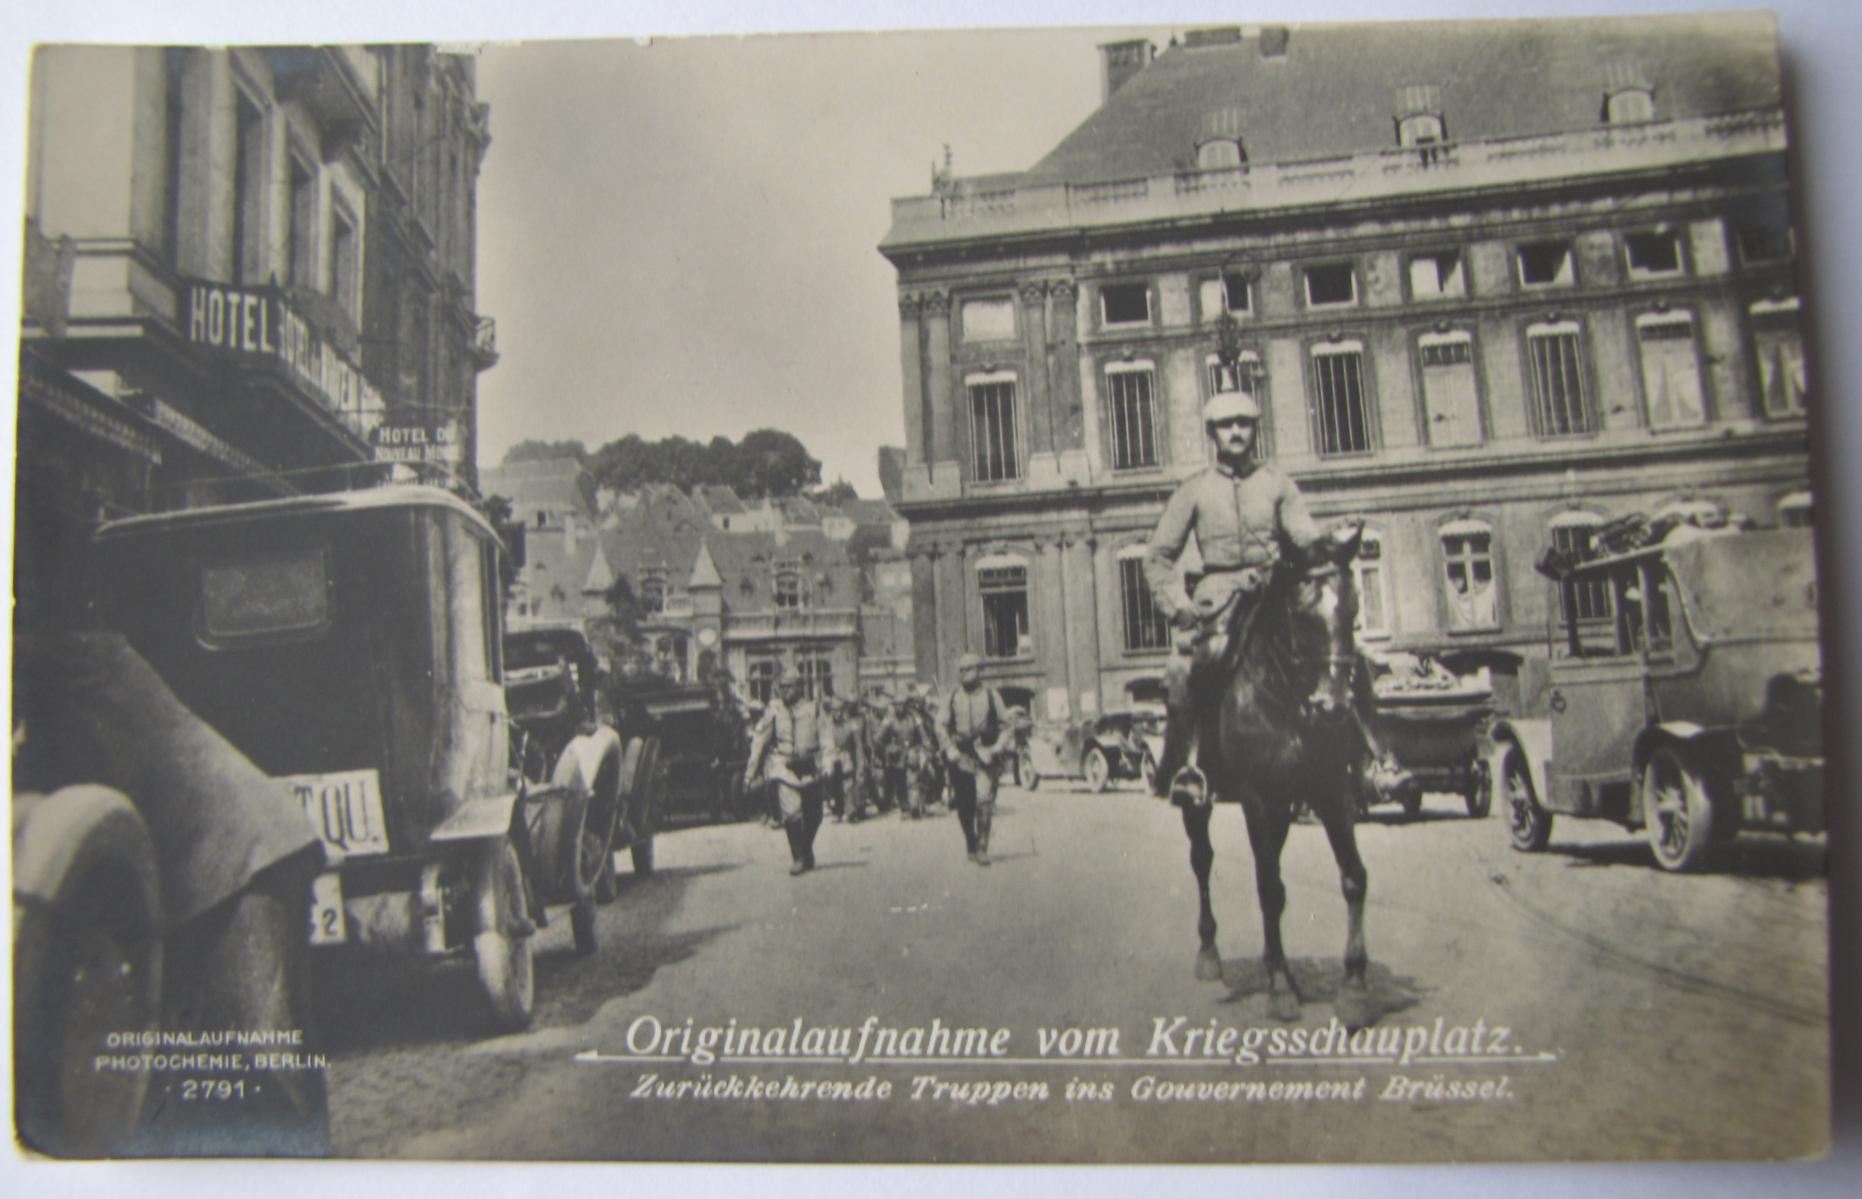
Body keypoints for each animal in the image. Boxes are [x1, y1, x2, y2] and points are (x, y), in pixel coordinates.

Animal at [1177, 525, 1379, 1029]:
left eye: (1353, 610)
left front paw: (1354, 987)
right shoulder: (1256, 797)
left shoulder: (1330, 792)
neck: (1289, 698)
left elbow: (1352, 877)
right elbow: (1269, 889)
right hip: (1201, 803)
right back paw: (1210, 953)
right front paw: (1282, 989)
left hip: (1287, 806)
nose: (1331, 707)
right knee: (1204, 860)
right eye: (1301, 614)